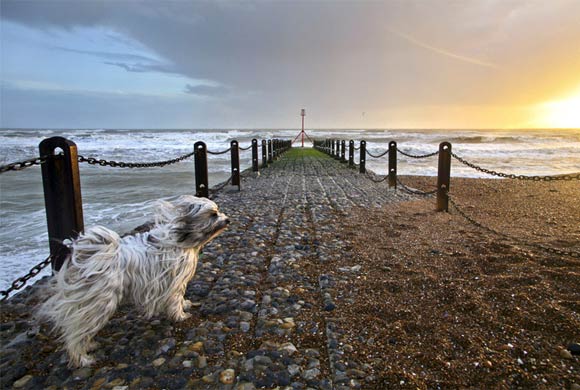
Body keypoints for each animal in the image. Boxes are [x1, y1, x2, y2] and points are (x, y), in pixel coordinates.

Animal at [38, 197, 229, 368]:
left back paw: (89, 345)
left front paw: (185, 305)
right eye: (213, 214)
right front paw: (180, 316)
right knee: (76, 333)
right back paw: (82, 359)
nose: (227, 219)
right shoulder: (174, 283)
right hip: (100, 302)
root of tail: (90, 257)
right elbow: (175, 300)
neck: (180, 239)